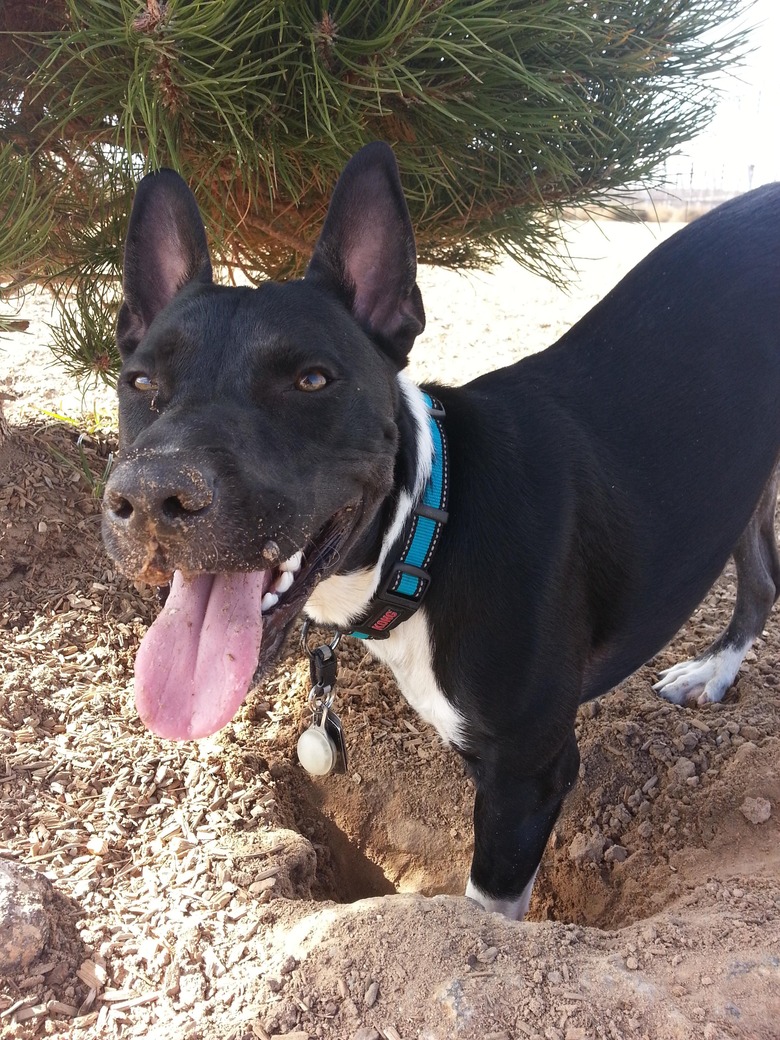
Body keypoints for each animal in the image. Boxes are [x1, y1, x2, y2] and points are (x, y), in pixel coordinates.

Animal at [104, 144, 780, 919]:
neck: (430, 532)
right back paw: (715, 669)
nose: (151, 495)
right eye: (140, 382)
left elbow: (484, 915)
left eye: (311, 380)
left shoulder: (528, 775)